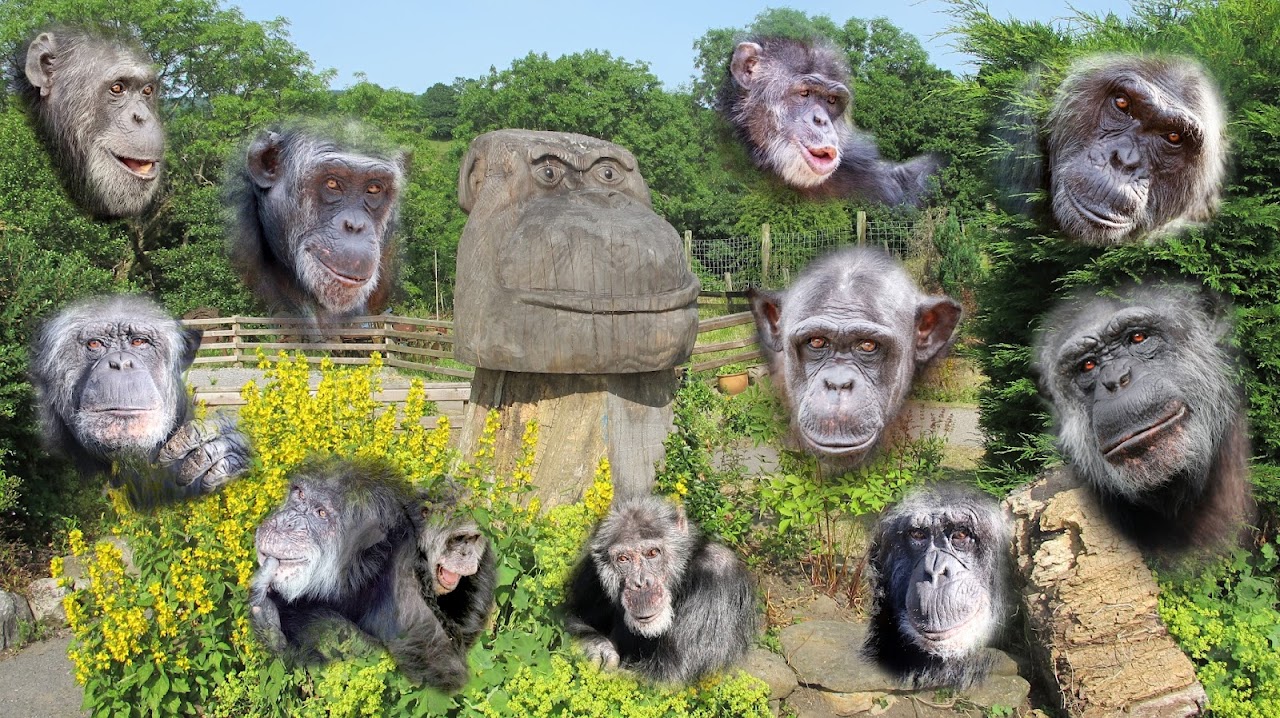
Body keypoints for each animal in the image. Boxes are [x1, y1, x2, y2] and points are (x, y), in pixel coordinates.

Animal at [563, 495, 757, 685]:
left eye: (652, 553)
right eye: (623, 559)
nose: (640, 583)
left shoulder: (718, 578)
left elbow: (669, 676)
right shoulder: (591, 569)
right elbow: (569, 613)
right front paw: (597, 648)